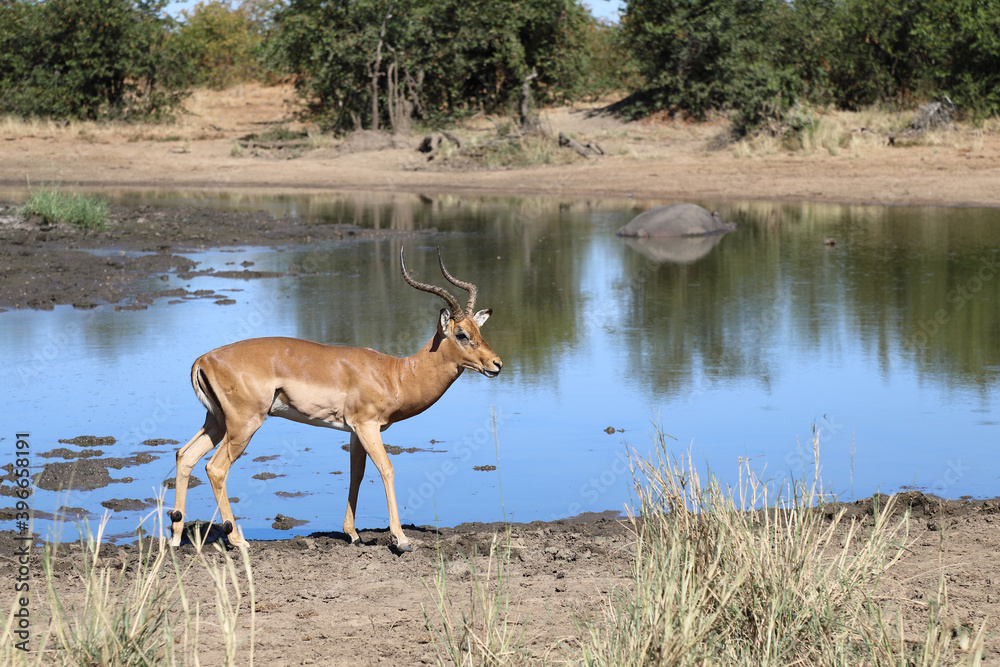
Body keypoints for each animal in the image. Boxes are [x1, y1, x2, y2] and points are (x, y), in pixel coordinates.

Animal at [168, 247, 502, 552]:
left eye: (478, 330)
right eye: (461, 334)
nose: (496, 364)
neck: (396, 374)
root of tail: (203, 360)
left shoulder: (355, 430)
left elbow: (357, 473)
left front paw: (352, 534)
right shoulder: (367, 426)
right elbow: (387, 469)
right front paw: (401, 539)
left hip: (217, 423)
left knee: (185, 455)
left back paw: (174, 538)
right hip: (243, 425)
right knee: (216, 468)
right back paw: (238, 540)